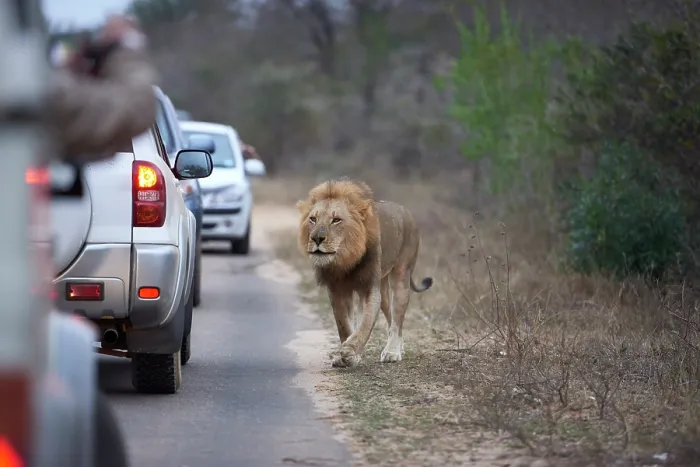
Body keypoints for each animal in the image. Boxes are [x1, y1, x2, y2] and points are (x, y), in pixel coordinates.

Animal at [296, 178, 433, 368]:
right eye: (313, 219)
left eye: (336, 220)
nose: (316, 238)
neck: (345, 260)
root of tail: (406, 211)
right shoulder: (337, 290)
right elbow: (344, 324)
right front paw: (347, 356)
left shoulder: (368, 288)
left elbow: (366, 323)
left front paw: (350, 351)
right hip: (382, 287)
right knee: (390, 316)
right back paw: (399, 347)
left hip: (401, 275)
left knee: (397, 319)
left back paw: (392, 352)